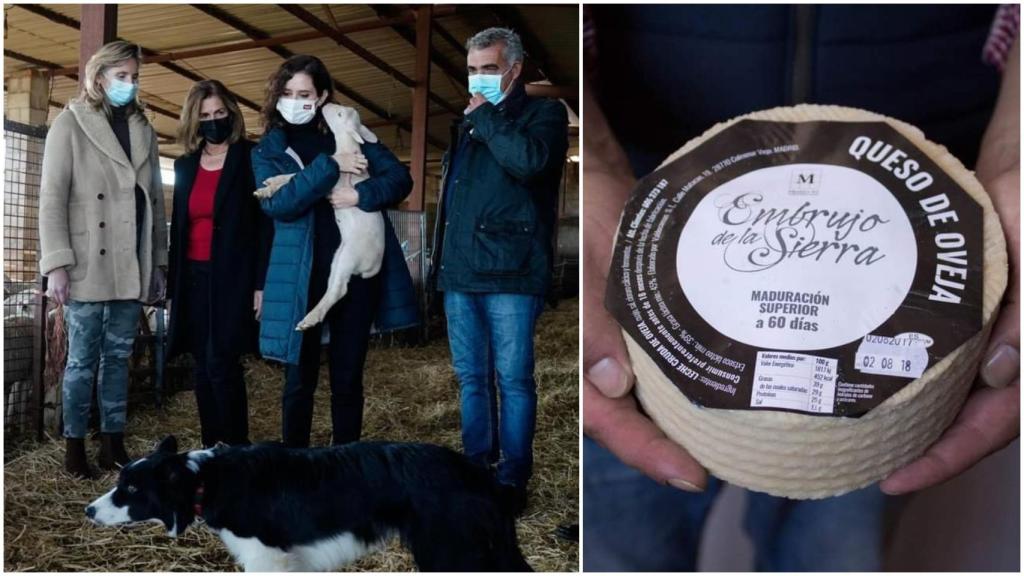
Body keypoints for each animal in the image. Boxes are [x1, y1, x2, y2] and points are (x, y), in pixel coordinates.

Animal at [84, 434, 532, 569]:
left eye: (132, 489)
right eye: (120, 481)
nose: (88, 510)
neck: (206, 481)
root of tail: (480, 475)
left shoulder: (267, 557)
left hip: (449, 553)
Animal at [254, 100, 385, 330]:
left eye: (340, 114)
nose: (328, 104)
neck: (349, 149)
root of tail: (374, 266)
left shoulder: (331, 185)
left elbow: (296, 175)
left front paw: (267, 188)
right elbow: (297, 174)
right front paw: (270, 183)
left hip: (351, 256)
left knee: (339, 290)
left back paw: (308, 320)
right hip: (339, 256)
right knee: (334, 286)